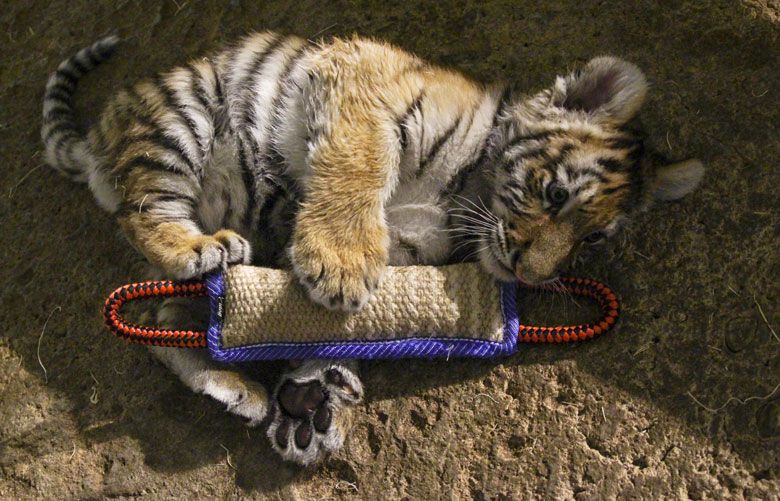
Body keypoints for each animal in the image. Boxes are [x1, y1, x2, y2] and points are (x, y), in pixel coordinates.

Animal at [41, 32, 703, 465]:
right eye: (555, 193)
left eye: (591, 239)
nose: (531, 273)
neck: (468, 195)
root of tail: (100, 132)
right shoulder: (360, 81)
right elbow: (360, 164)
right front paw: (340, 263)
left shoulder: (411, 249)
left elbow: (331, 326)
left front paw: (311, 391)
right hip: (182, 118)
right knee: (146, 212)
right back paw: (197, 249)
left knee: (161, 319)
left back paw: (251, 391)